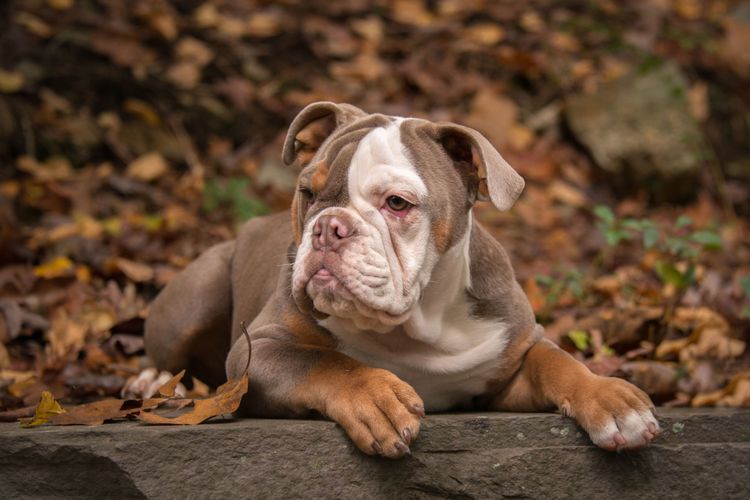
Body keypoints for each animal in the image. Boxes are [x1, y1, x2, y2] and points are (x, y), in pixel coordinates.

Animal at [144, 101, 660, 458]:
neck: (415, 325)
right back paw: (153, 384)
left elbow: (557, 362)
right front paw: (376, 398)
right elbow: (326, 362)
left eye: (397, 203)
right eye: (308, 193)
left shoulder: (508, 363)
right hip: (200, 293)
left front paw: (612, 399)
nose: (328, 227)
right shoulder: (259, 351)